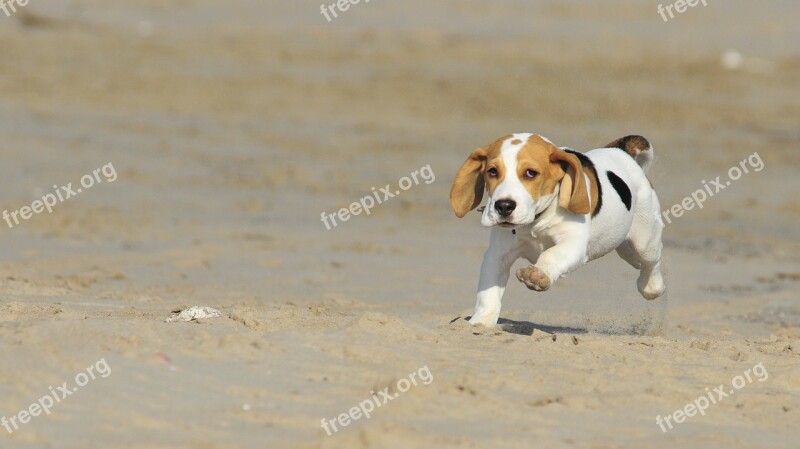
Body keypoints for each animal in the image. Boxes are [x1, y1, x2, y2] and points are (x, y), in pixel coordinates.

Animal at [454, 133, 664, 326]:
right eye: (492, 172)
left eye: (530, 173)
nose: (503, 206)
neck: (536, 221)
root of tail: (620, 151)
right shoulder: (497, 255)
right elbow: (488, 292)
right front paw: (481, 322)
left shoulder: (573, 245)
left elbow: (551, 254)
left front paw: (537, 275)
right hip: (622, 245)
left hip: (644, 241)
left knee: (652, 261)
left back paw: (652, 287)